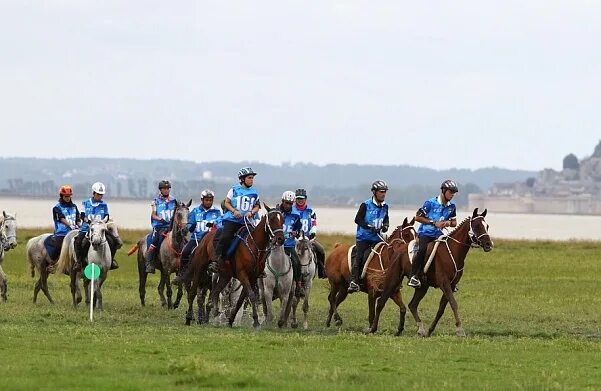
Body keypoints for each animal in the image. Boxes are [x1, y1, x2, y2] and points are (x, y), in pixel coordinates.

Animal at [376, 207, 492, 338]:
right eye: (477, 225)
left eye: (487, 226)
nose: (488, 244)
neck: (452, 251)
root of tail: (397, 250)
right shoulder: (444, 283)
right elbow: (453, 303)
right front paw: (460, 329)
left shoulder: (451, 285)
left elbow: (442, 308)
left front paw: (430, 330)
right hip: (393, 279)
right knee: (382, 300)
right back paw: (372, 328)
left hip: (422, 287)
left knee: (412, 305)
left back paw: (420, 329)